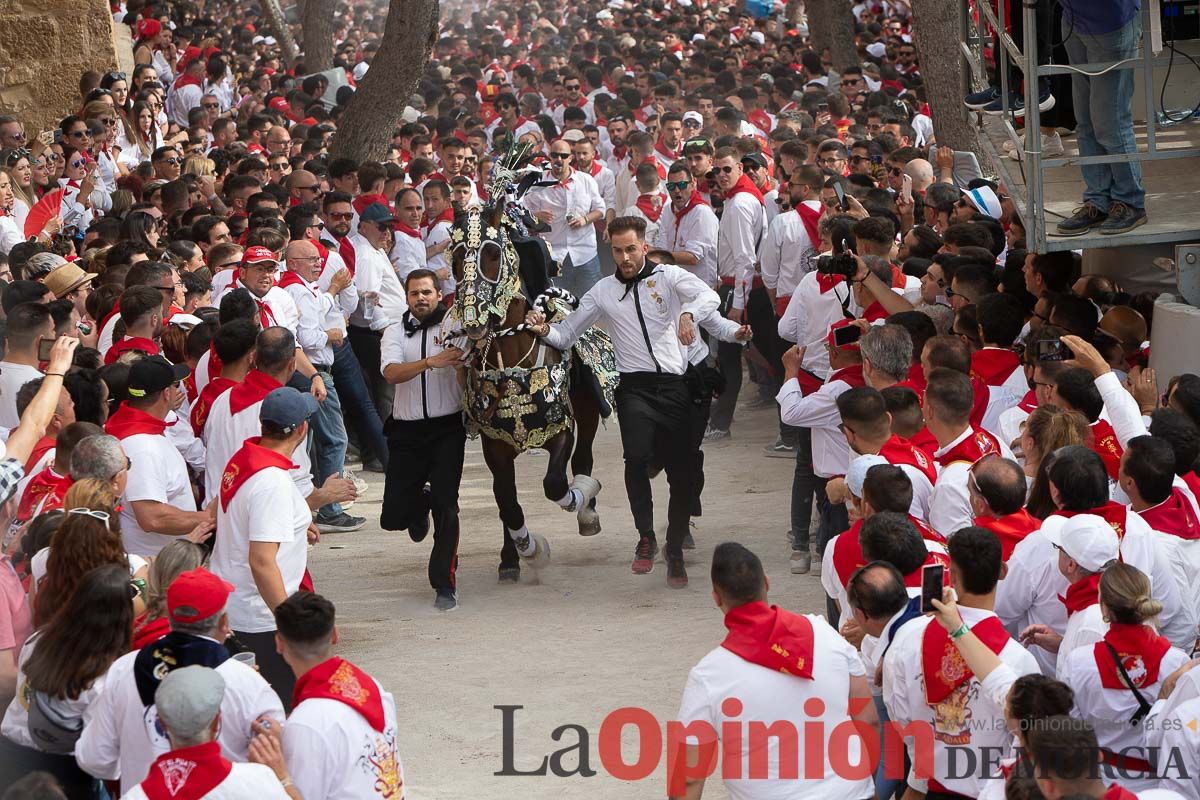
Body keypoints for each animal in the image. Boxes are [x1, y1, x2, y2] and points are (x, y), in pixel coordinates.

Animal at [451, 158, 619, 582]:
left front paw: (581, 500)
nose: (473, 322)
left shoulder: (562, 427)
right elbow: (506, 502)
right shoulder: (495, 445)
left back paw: (588, 508)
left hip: (589, 411)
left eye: (493, 254)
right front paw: (522, 552)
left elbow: (556, 482)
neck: (510, 357)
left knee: (584, 458)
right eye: (456, 259)